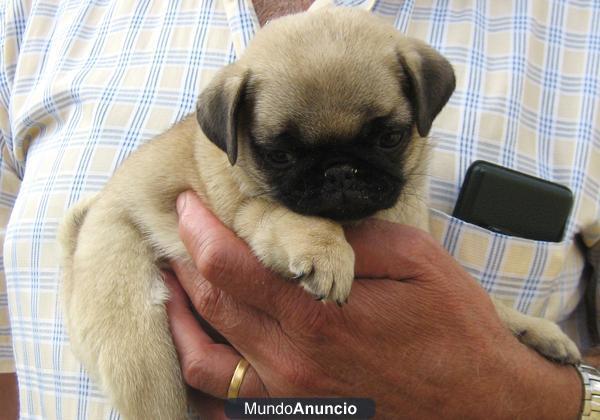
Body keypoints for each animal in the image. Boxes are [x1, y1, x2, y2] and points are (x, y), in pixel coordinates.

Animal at [58, 6, 580, 420]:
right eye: (279, 155)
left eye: (389, 138)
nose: (340, 171)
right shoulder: (249, 210)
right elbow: (293, 218)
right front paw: (325, 251)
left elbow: (485, 303)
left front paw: (533, 329)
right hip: (140, 339)